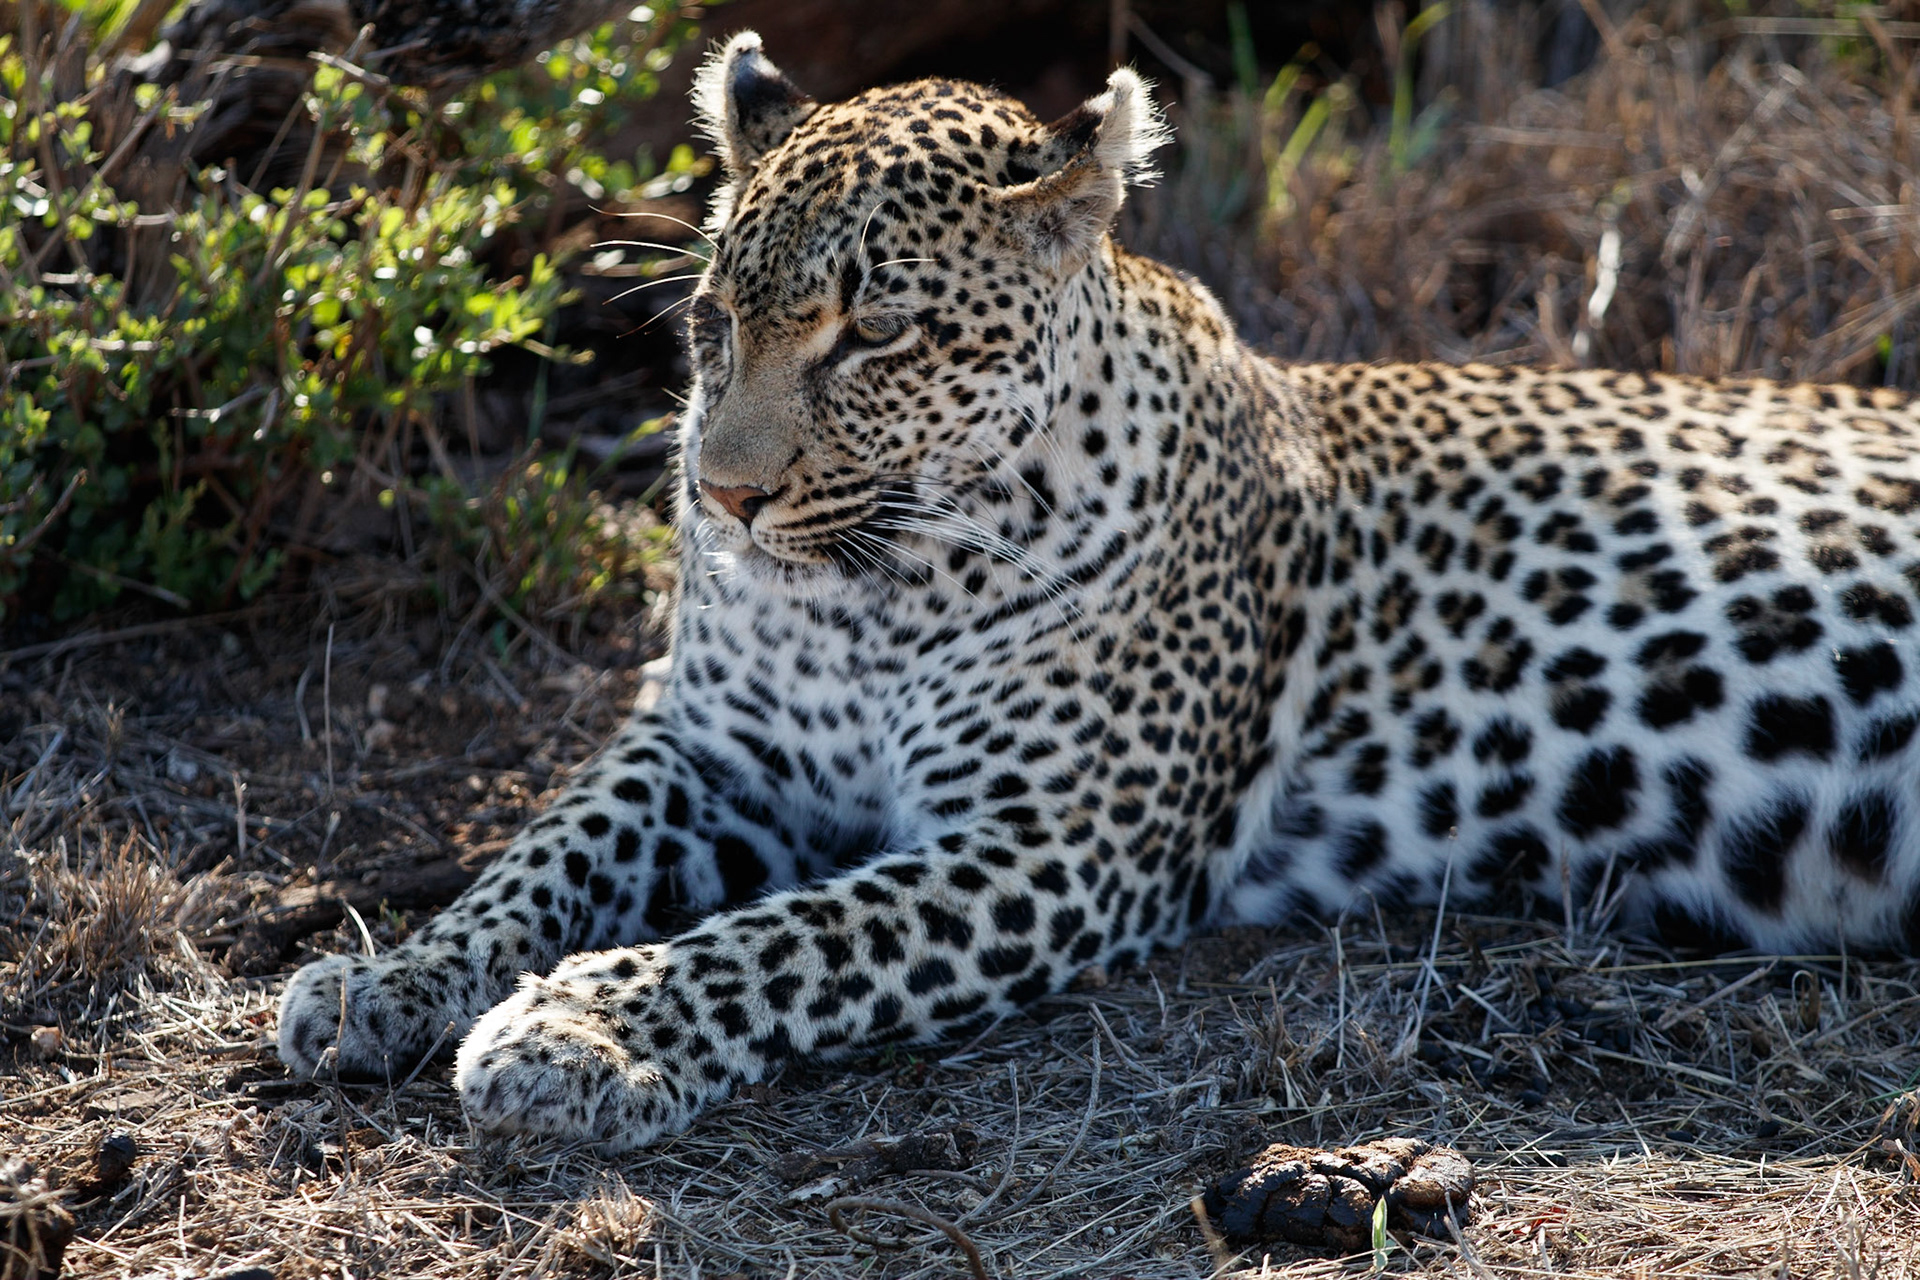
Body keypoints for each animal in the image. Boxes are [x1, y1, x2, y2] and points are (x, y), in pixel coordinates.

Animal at [277, 31, 1920, 1150]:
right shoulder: (710, 751)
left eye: (874, 334)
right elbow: (541, 855)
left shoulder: (1055, 845)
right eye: (711, 320)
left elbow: (788, 938)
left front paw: (579, 1027)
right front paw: (387, 979)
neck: (867, 598)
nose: (725, 498)